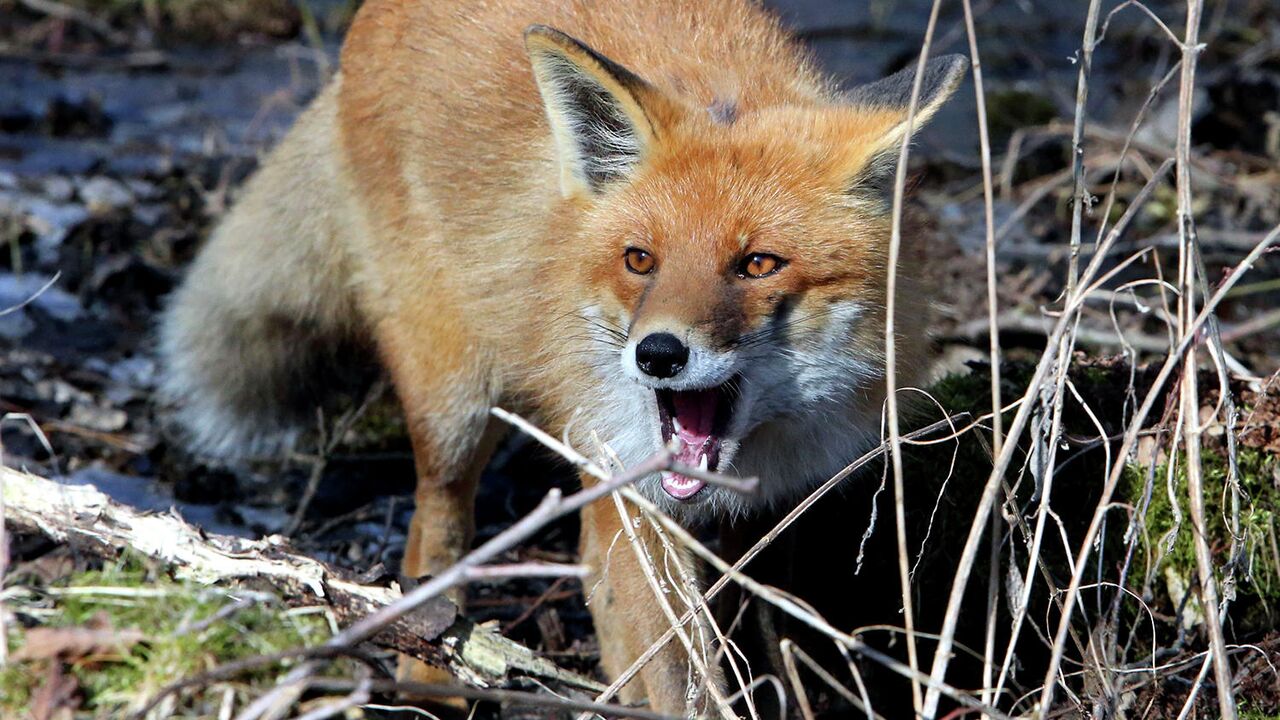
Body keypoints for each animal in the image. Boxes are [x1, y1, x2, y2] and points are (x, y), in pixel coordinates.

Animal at [157, 0, 962, 707]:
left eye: (758, 264)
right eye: (640, 260)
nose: (658, 355)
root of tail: (371, 20)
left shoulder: (777, 512)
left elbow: (768, 640)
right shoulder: (629, 505)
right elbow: (680, 678)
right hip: (456, 408)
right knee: (431, 543)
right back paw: (427, 683)